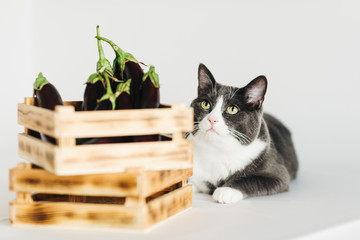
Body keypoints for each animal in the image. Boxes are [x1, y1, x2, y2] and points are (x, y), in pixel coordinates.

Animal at [186, 62, 298, 203]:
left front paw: (226, 190)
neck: (217, 151)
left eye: (232, 109)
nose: (212, 119)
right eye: (205, 104)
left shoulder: (278, 174)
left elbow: (252, 179)